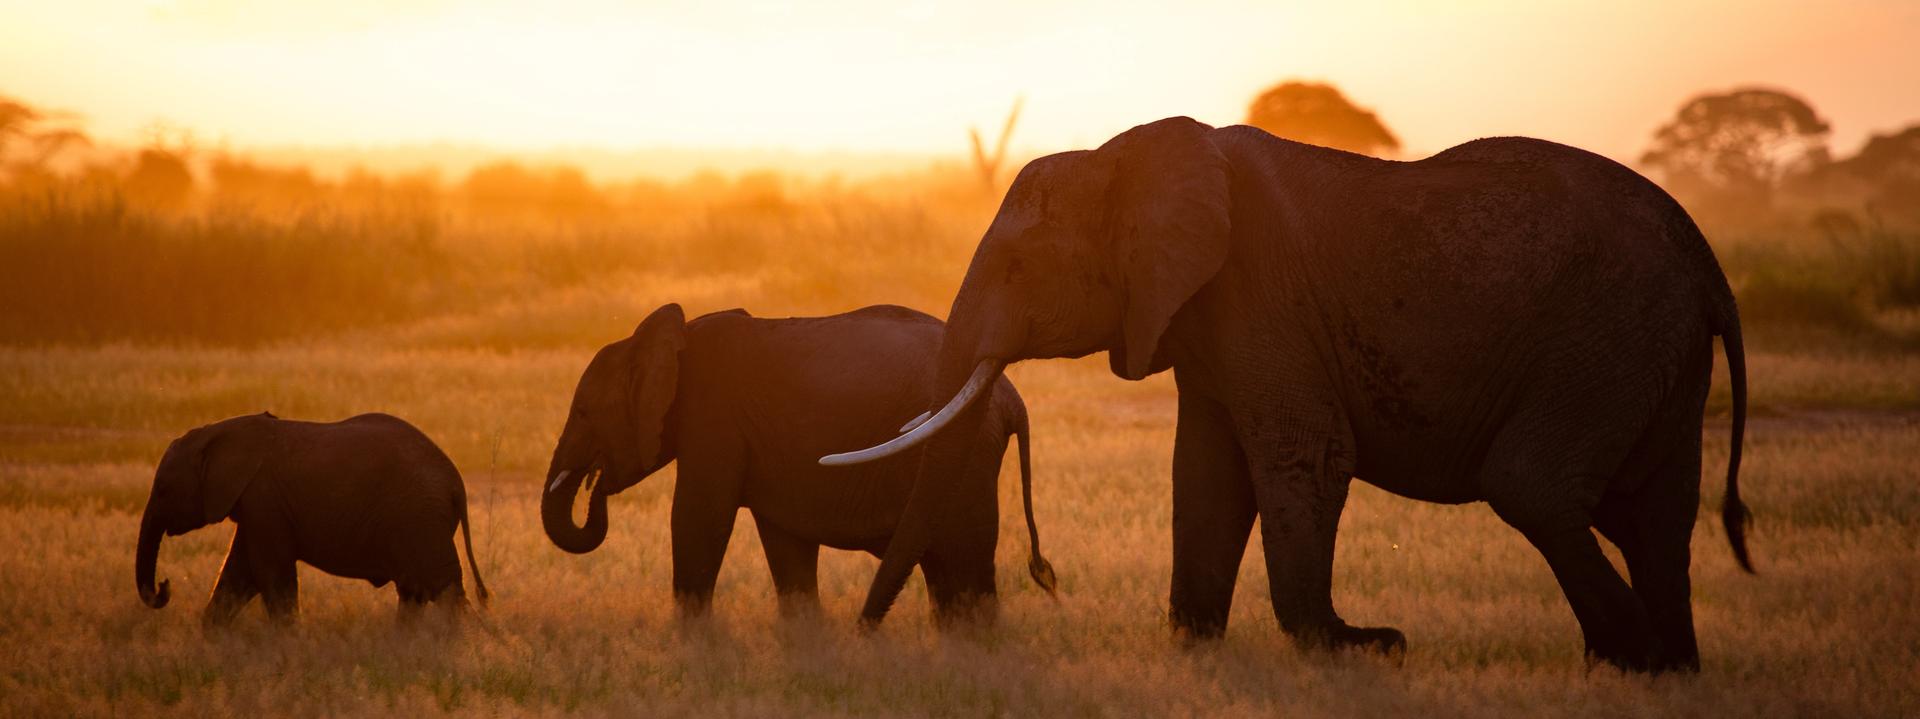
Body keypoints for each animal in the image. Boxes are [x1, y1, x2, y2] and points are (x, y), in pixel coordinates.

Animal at [136, 412, 490, 625]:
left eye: (164, 490)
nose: (165, 586)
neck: (219, 431)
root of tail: (456, 482)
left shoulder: (265, 500)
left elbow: (270, 574)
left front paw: (288, 643)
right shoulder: (256, 506)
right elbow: (238, 573)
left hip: (420, 518)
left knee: (442, 587)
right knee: (414, 590)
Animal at [541, 303, 1055, 623]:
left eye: (583, 412)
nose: (594, 484)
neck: (662, 339)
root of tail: (1012, 399)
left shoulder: (713, 419)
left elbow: (697, 518)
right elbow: (785, 543)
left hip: (967, 461)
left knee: (965, 567)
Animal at [823, 117, 1750, 673]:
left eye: (1018, 268)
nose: (862, 635)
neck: (1125, 158)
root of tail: (1707, 260)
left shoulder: (1257, 294)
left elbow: (1304, 455)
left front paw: (1358, 649)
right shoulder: (1199, 314)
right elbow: (1205, 474)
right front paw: (1196, 648)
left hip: (1609, 336)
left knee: (1536, 487)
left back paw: (1637, 659)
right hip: (1649, 355)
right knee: (1652, 514)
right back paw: (1666, 668)